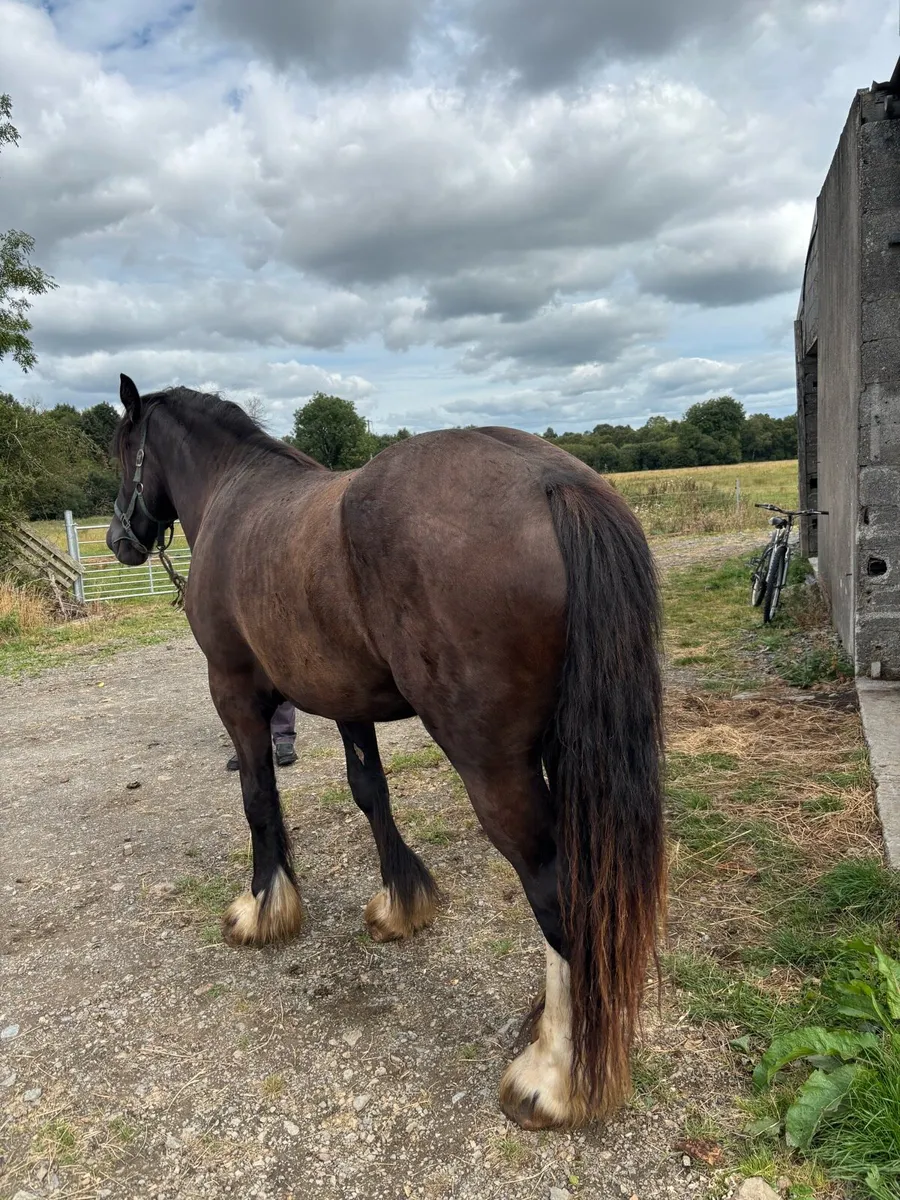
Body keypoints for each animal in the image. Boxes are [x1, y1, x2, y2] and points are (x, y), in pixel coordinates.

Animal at [106, 373, 665, 1130]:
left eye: (121, 447)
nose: (118, 538)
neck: (234, 493)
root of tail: (553, 482)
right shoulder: (349, 702)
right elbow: (370, 793)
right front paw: (403, 903)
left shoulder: (233, 693)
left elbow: (257, 798)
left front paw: (263, 909)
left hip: (494, 767)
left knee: (556, 886)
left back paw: (555, 1074)